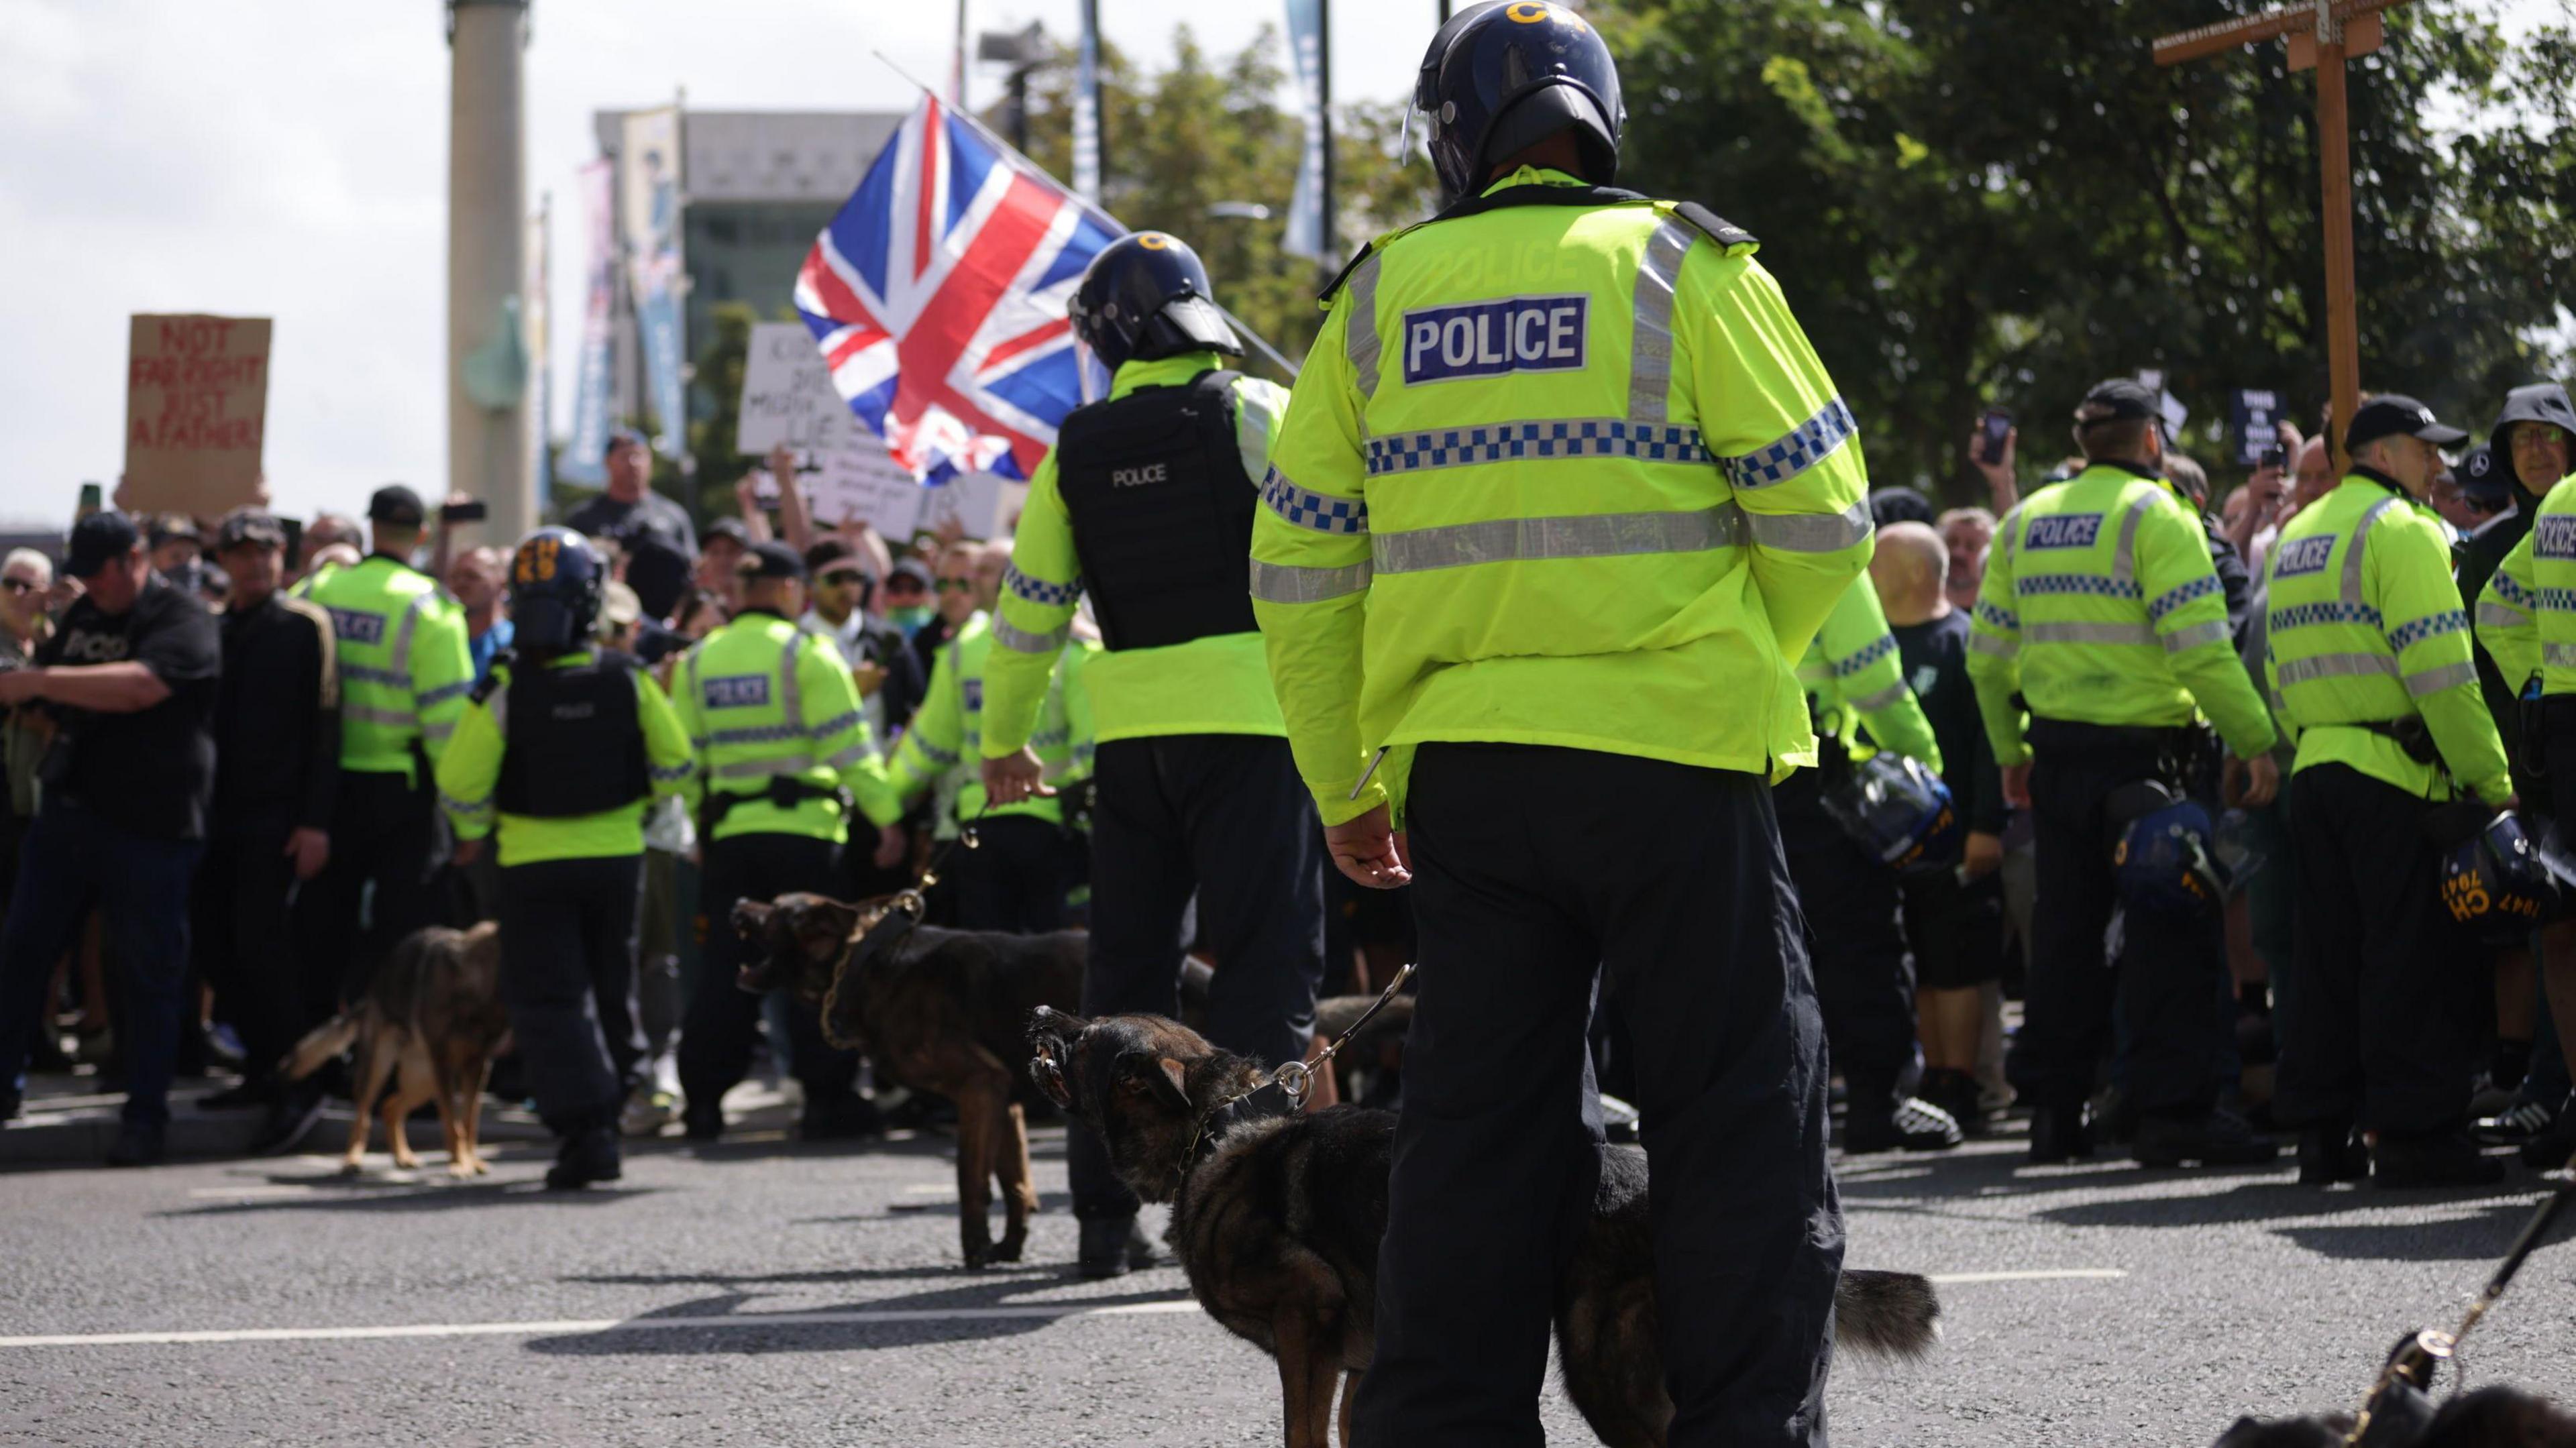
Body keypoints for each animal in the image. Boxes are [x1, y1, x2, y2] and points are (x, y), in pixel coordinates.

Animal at [280, 917, 507, 1180]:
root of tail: (370, 996)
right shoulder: (443, 1063)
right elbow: (453, 1122)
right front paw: (460, 1163)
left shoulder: (477, 1066)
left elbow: (469, 1121)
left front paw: (471, 1160)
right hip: (381, 1067)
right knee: (364, 1115)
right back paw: (352, 1160)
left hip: (423, 1079)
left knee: (391, 1108)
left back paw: (403, 1156)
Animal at [731, 886, 1081, 1268]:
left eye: (779, 910)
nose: (739, 904)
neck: (863, 959)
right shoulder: (1004, 1101)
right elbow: (1016, 1183)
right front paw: (1009, 1247)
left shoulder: (980, 1086)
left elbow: (969, 1177)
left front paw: (976, 1248)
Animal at [1020, 1005, 1937, 1443]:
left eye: (1084, 1035)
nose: (1039, 1008)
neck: (1211, 1131)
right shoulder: (1366, 1364)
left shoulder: (1306, 1319)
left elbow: (1300, 1432)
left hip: (1604, 1368)